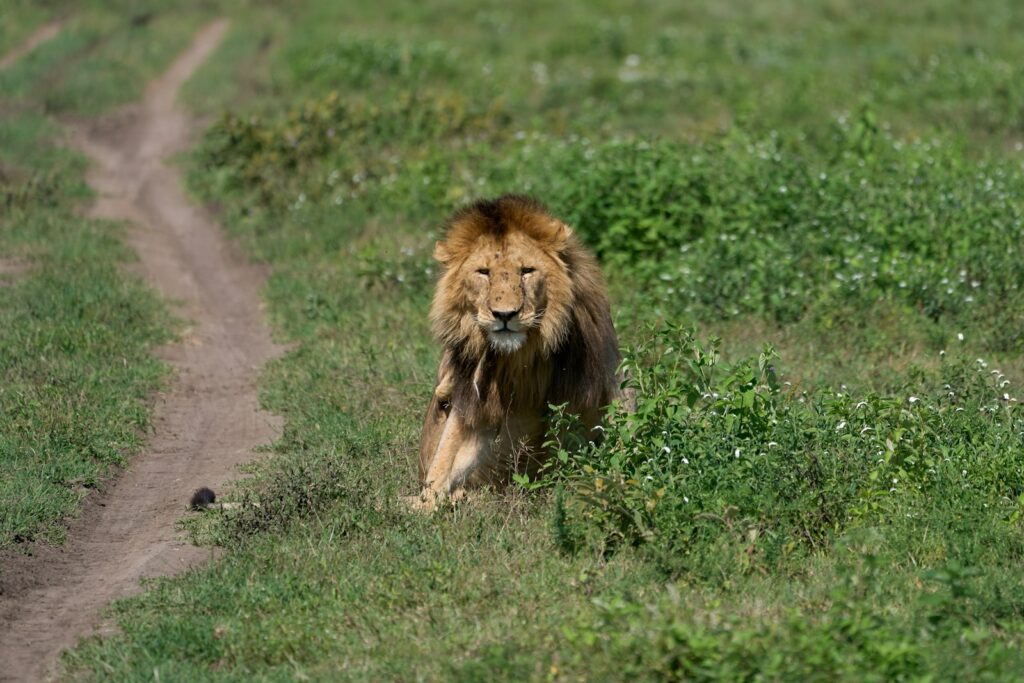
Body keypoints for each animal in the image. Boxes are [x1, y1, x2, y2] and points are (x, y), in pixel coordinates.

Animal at [415, 193, 622, 507]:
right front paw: (426, 503)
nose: (505, 315)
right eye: (483, 272)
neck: (519, 362)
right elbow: (444, 463)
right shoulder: (470, 403)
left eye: (527, 271)